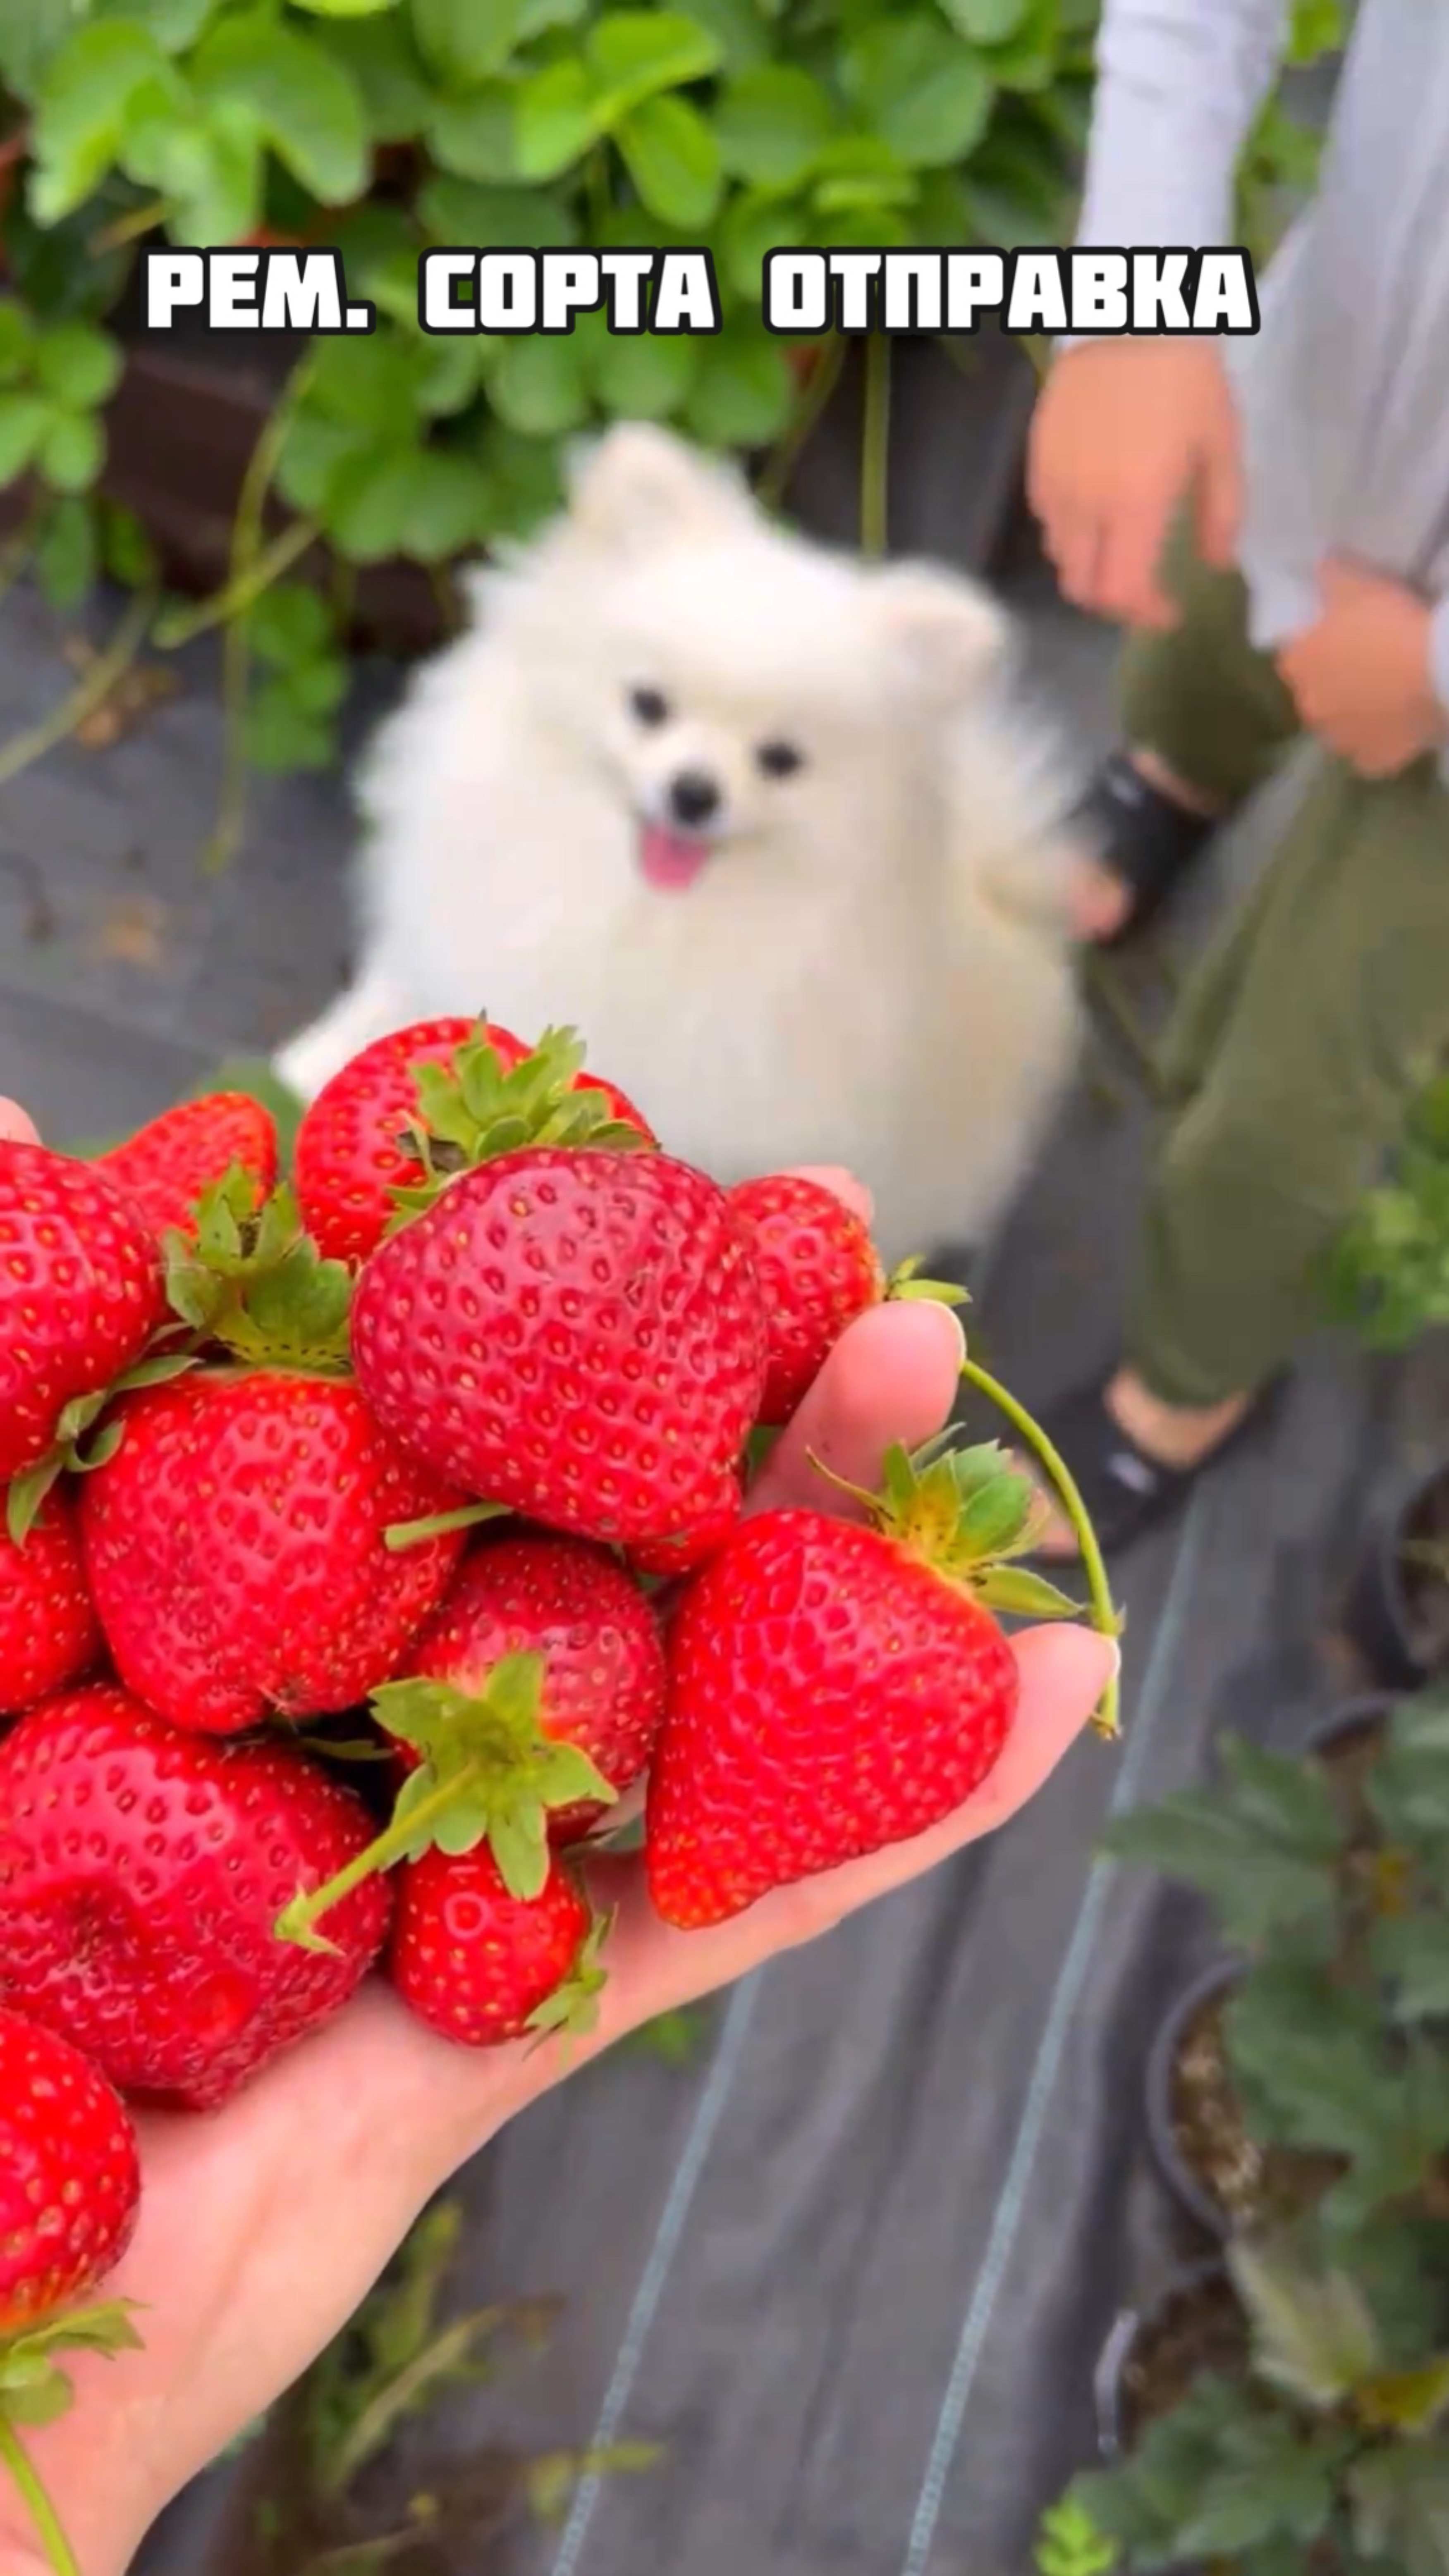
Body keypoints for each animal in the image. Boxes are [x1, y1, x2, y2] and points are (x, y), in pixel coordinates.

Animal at [276, 420, 1078, 1257]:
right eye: (648, 705)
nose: (694, 792)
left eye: (781, 760)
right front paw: (315, 1061)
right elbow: (397, 991)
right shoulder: (454, 912)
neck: (638, 904)